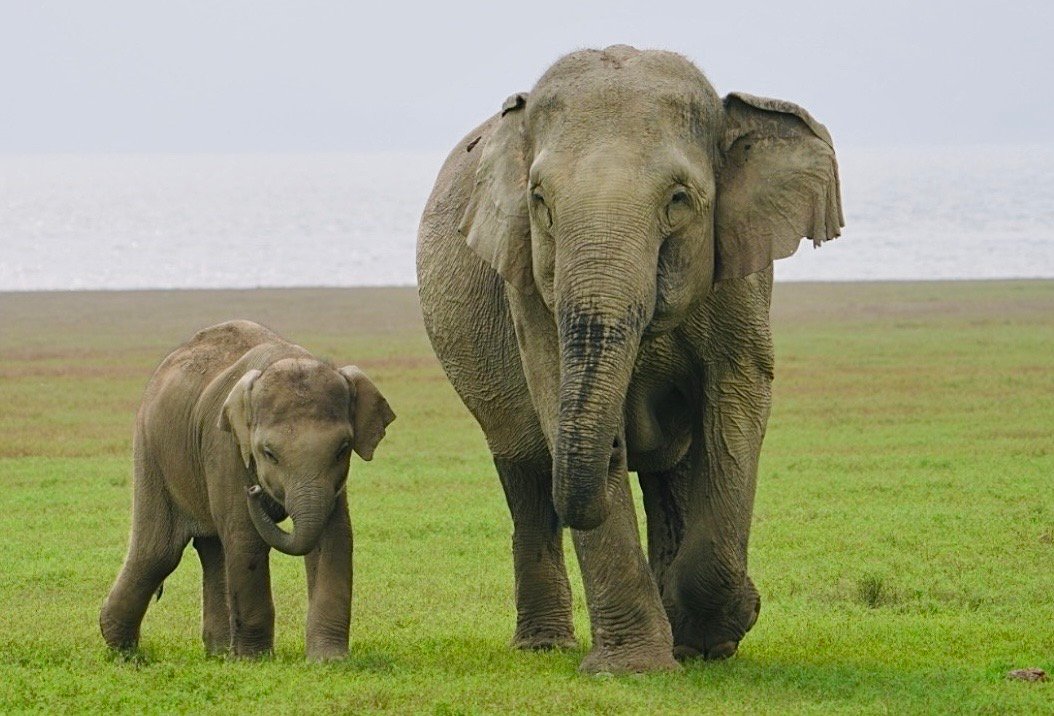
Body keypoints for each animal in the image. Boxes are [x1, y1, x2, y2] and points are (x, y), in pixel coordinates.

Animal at [99, 320, 395, 660]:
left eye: (343, 449)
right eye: (269, 453)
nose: (253, 490)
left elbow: (335, 537)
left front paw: (329, 660)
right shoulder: (226, 447)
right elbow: (246, 537)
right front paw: (255, 660)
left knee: (211, 549)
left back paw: (218, 654)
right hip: (152, 449)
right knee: (157, 553)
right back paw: (123, 652)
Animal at [417, 45, 843, 673]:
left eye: (679, 201)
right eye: (540, 202)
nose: (620, 441)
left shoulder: (738, 272)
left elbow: (737, 395)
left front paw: (717, 634)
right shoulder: (529, 279)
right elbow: (553, 394)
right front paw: (634, 668)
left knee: (672, 478)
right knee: (525, 471)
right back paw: (546, 646)